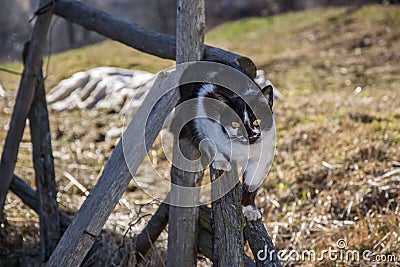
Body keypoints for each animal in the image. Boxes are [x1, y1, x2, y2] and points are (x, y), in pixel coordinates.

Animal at [174, 63, 276, 222]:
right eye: (235, 124)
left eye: (256, 121)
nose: (249, 134)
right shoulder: (204, 109)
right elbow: (210, 141)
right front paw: (221, 161)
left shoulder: (261, 156)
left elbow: (251, 183)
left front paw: (249, 209)